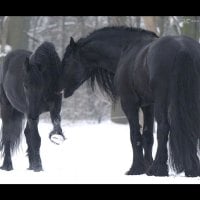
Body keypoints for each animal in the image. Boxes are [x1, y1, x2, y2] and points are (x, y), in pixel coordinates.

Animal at [0, 41, 65, 171]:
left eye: (41, 85)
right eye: (25, 85)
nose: (33, 114)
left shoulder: (55, 109)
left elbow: (56, 124)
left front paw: (57, 137)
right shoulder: (32, 113)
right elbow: (36, 139)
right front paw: (38, 166)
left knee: (26, 133)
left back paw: (30, 164)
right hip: (8, 109)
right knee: (7, 135)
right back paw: (7, 165)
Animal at [59, 26, 200, 177]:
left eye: (67, 60)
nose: (59, 87)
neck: (126, 49)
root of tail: (183, 48)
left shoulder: (129, 103)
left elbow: (135, 136)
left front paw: (136, 168)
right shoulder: (148, 105)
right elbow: (147, 135)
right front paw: (146, 166)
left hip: (162, 101)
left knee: (163, 128)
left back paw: (158, 169)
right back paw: (192, 168)